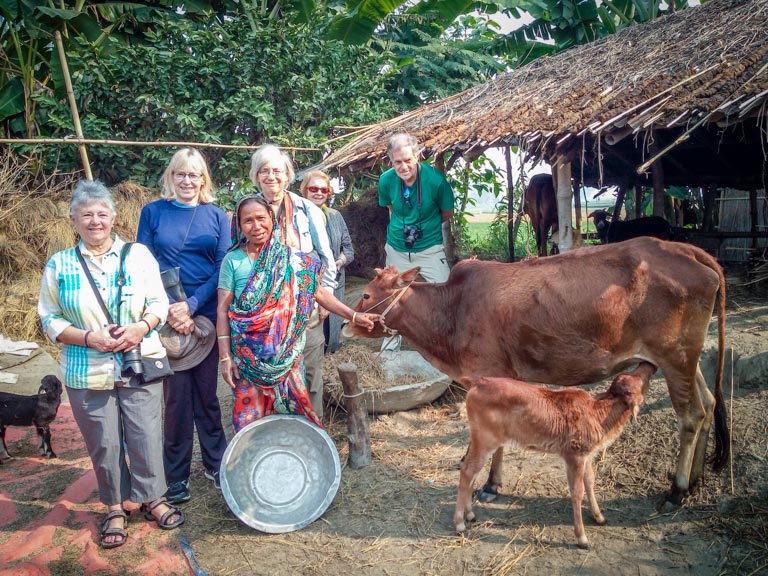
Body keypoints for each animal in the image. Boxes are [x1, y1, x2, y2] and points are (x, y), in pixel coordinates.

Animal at [344, 237, 728, 508]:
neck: (452, 309)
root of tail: (687, 250)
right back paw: (695, 481)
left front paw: (490, 485)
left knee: (690, 416)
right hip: (687, 360)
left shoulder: (487, 380)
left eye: (367, 295)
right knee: (708, 405)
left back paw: (677, 490)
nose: (347, 325)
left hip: (675, 357)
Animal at [456, 364, 656, 548]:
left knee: (470, 472)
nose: (649, 365)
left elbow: (590, 481)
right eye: (641, 380)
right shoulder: (574, 456)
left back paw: (470, 514)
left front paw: (599, 517)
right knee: (467, 471)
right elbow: (577, 492)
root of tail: (477, 382)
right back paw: (459, 523)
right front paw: (581, 538)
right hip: (485, 441)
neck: (598, 414)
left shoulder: (586, 455)